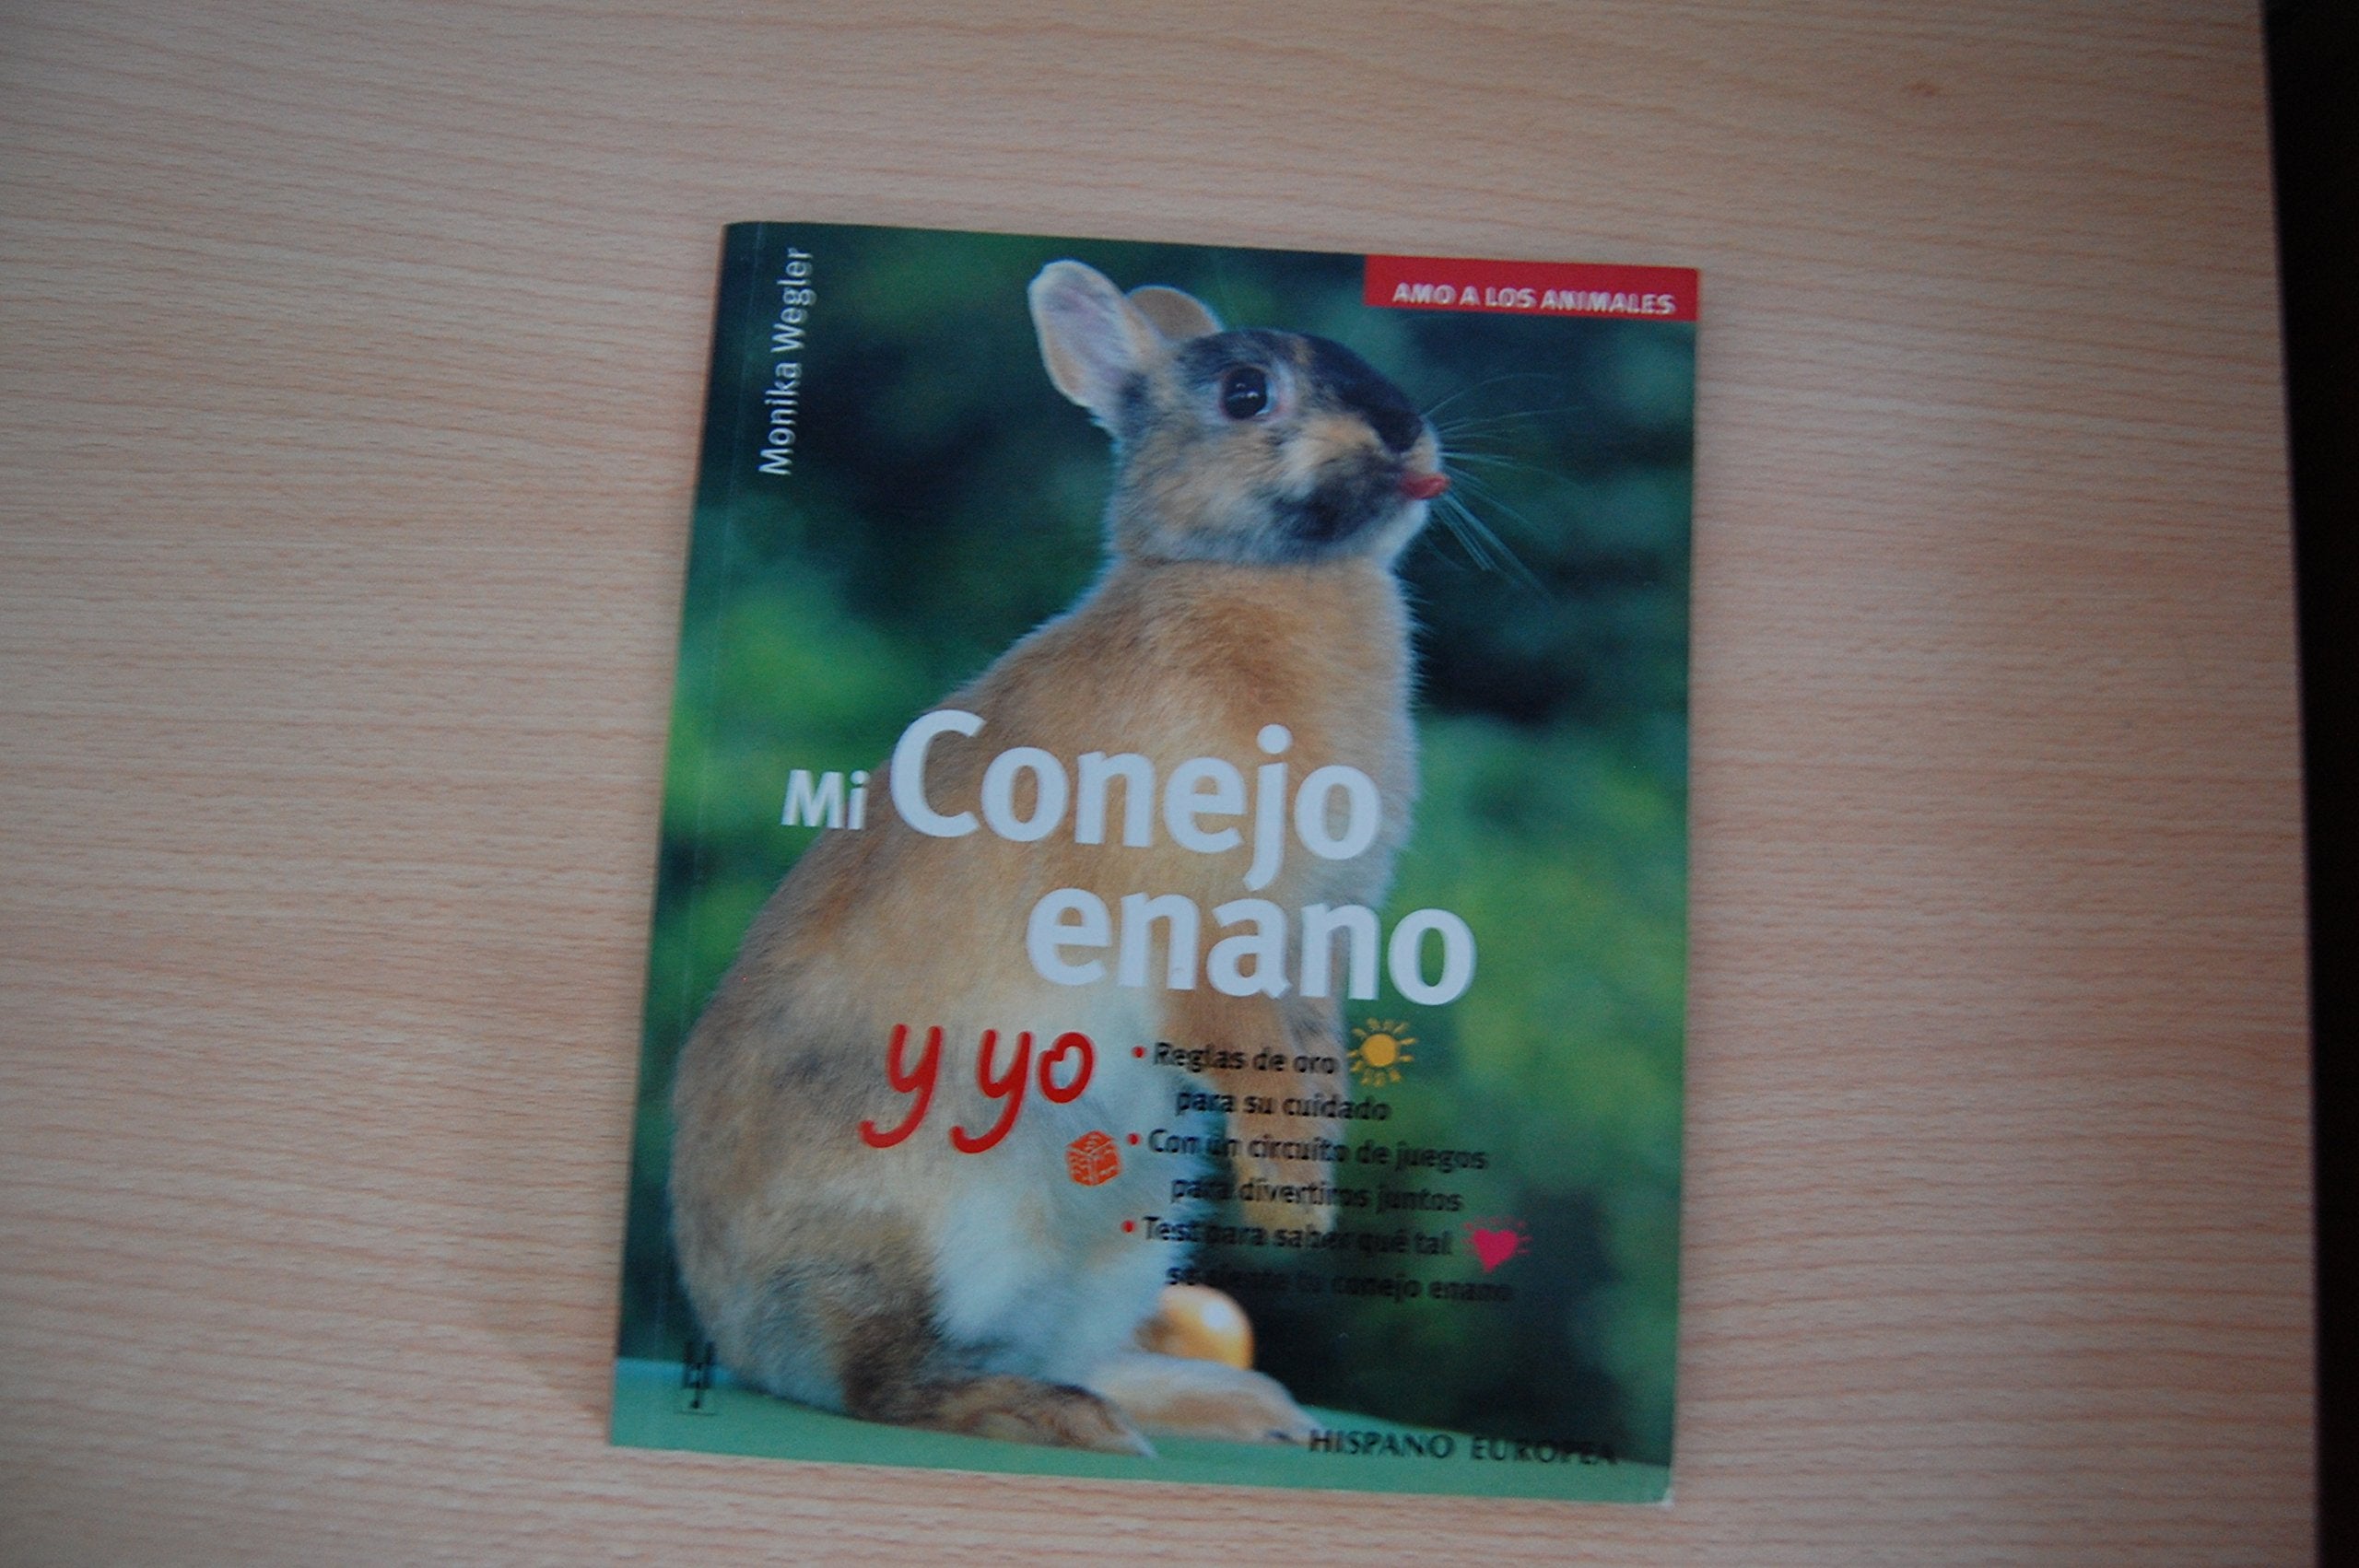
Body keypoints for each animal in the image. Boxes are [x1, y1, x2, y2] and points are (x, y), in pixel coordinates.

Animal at [668, 258, 1449, 1455]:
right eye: (1244, 394)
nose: (1408, 430)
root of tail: (735, 1334)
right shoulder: (1197, 926)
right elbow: (1245, 1050)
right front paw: (1290, 1208)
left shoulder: (1316, 944)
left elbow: (1311, 1060)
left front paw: (1309, 1201)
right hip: (940, 1209)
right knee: (879, 1376)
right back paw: (1043, 1414)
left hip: (1130, 1234)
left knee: (1062, 1346)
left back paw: (1223, 1407)